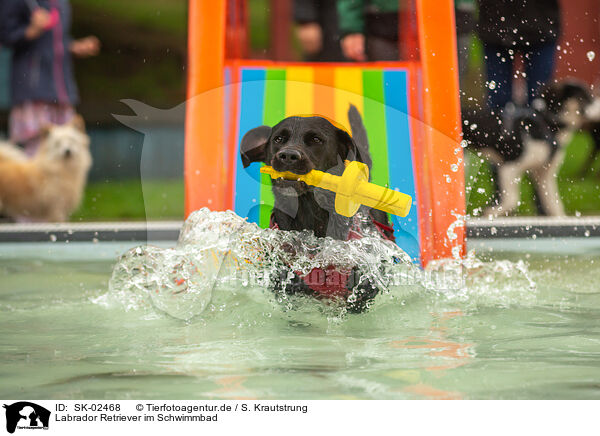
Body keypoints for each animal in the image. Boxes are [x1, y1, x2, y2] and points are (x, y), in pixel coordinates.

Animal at [464, 79, 600, 215]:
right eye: (585, 97)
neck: (546, 125)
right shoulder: (508, 167)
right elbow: (510, 200)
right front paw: (488, 212)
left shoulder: (544, 175)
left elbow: (554, 206)